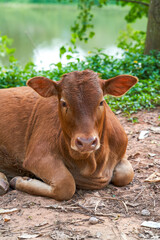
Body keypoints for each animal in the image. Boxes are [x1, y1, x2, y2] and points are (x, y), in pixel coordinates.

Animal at [0, 70, 138, 201]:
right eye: (64, 103)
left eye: (101, 102)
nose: (86, 142)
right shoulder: (37, 156)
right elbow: (66, 184)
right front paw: (19, 180)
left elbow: (127, 174)